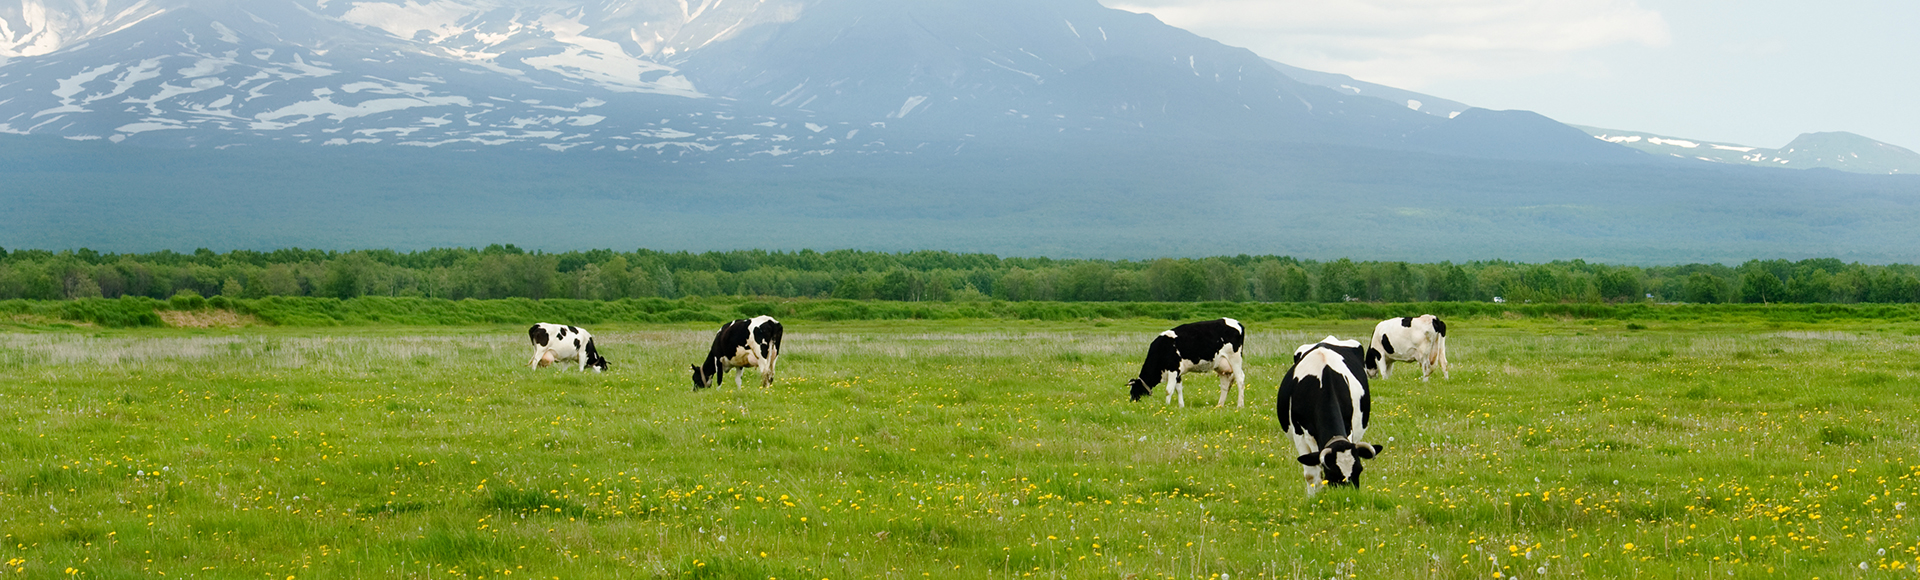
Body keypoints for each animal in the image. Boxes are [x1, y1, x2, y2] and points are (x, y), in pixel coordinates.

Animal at [1274, 336, 1382, 495]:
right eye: (1332, 473)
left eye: (1359, 470)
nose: (1348, 497)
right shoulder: (1299, 435)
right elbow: (1312, 475)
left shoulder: (1349, 429)